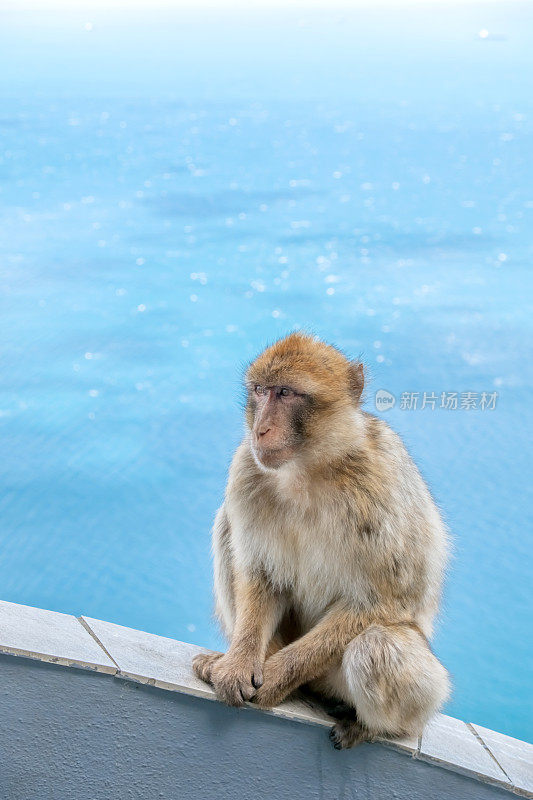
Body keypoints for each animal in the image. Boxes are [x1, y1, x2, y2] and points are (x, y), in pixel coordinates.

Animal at [192, 334, 448, 748]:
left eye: (285, 393)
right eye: (260, 391)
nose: (260, 430)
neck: (307, 470)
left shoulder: (378, 489)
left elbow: (381, 603)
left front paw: (277, 676)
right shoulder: (246, 470)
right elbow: (261, 573)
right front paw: (239, 664)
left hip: (413, 692)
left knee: (376, 645)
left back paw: (371, 726)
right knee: (226, 527)